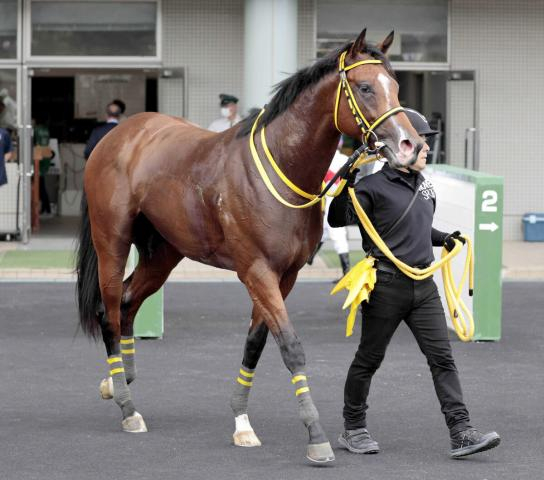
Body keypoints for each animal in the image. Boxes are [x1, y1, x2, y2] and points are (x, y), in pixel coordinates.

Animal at [75, 28, 420, 464]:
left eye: (395, 86)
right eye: (364, 87)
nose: (410, 145)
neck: (282, 167)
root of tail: (119, 135)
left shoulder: (284, 275)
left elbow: (256, 343)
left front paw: (241, 422)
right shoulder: (257, 270)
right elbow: (290, 346)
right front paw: (316, 435)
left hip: (164, 251)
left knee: (128, 302)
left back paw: (118, 379)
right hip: (112, 241)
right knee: (109, 310)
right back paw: (127, 406)